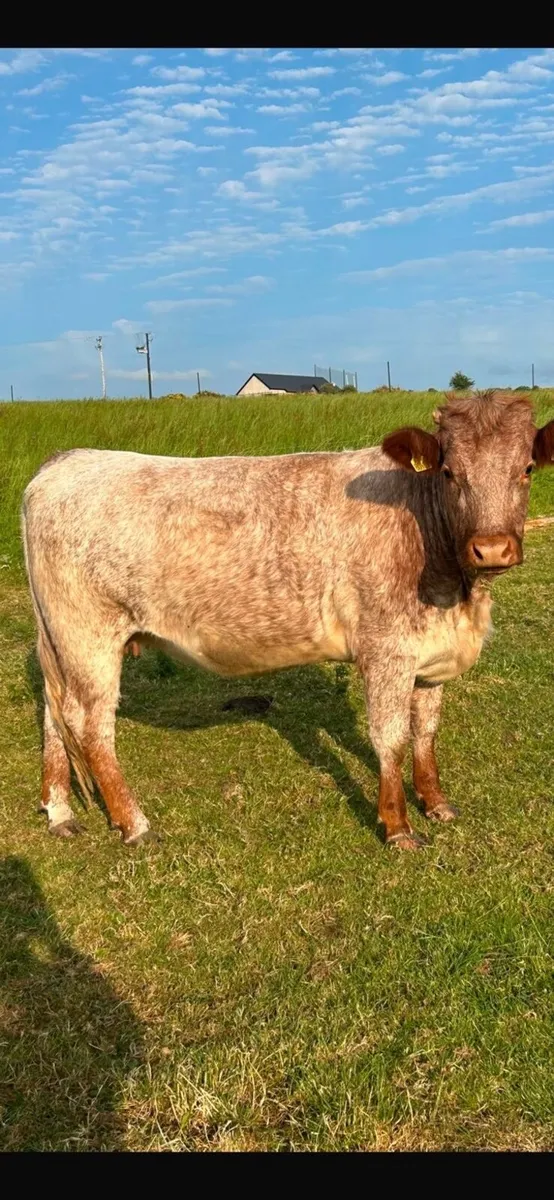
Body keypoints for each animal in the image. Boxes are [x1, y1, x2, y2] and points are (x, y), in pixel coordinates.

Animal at [21, 391, 554, 851]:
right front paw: (398, 826)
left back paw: (60, 812)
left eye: (526, 469)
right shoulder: (386, 650)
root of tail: (65, 460)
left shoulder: (431, 655)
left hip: (61, 641)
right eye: (448, 471)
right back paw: (134, 823)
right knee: (91, 725)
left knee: (53, 711)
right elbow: (391, 738)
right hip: (88, 636)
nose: (491, 548)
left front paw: (437, 803)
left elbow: (425, 732)